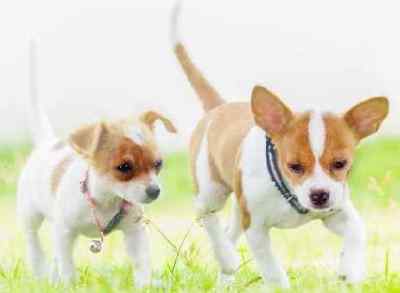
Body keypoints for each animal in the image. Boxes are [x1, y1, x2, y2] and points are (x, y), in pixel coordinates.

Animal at [17, 41, 177, 288]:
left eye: (158, 164)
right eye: (124, 167)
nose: (154, 191)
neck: (105, 201)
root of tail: (46, 142)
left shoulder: (135, 232)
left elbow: (141, 264)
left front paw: (144, 286)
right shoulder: (64, 232)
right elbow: (67, 265)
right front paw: (69, 286)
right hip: (30, 215)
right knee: (34, 242)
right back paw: (40, 271)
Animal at [171, 1, 388, 288]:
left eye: (341, 164)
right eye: (294, 166)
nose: (320, 195)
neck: (287, 193)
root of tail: (219, 107)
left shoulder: (336, 212)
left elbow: (357, 230)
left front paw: (349, 270)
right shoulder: (255, 229)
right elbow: (273, 271)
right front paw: (281, 286)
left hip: (238, 207)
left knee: (228, 234)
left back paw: (225, 275)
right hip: (211, 191)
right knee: (205, 215)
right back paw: (226, 257)